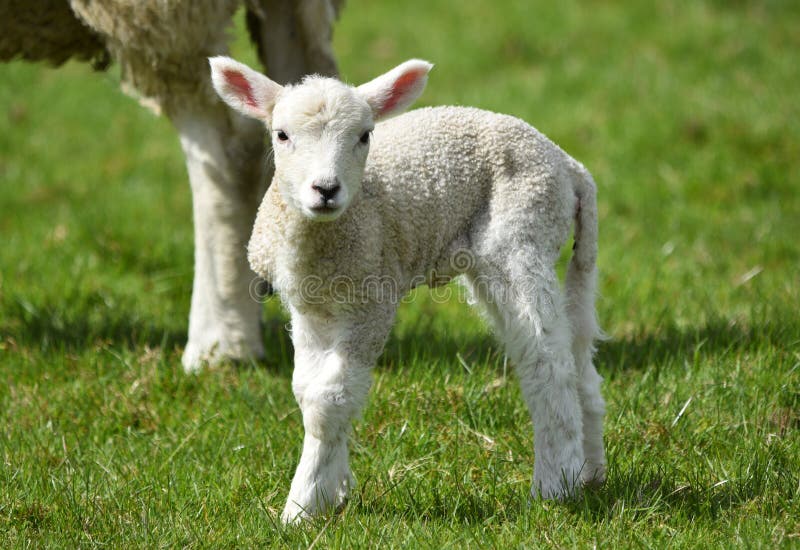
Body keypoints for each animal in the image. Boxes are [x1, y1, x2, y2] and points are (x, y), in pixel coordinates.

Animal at [210, 55, 607, 523]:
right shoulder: (312, 307)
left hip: (522, 235)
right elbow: (308, 392)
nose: (326, 190)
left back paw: (554, 487)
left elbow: (330, 399)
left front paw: (301, 507)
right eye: (281, 135)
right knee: (579, 362)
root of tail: (568, 166)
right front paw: (333, 490)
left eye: (365, 136)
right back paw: (591, 472)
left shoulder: (372, 300)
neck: (327, 238)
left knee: (547, 362)